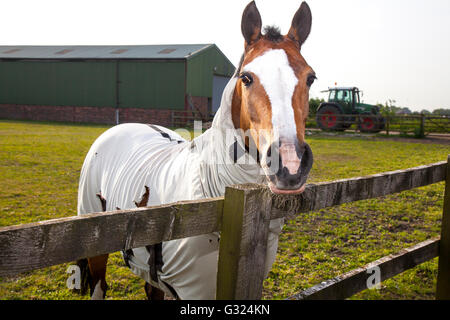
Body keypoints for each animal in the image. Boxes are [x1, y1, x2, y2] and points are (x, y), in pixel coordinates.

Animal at [77, 0, 314, 300]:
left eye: (310, 78)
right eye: (246, 78)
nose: (290, 164)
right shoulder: (193, 291)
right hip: (95, 243)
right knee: (99, 285)